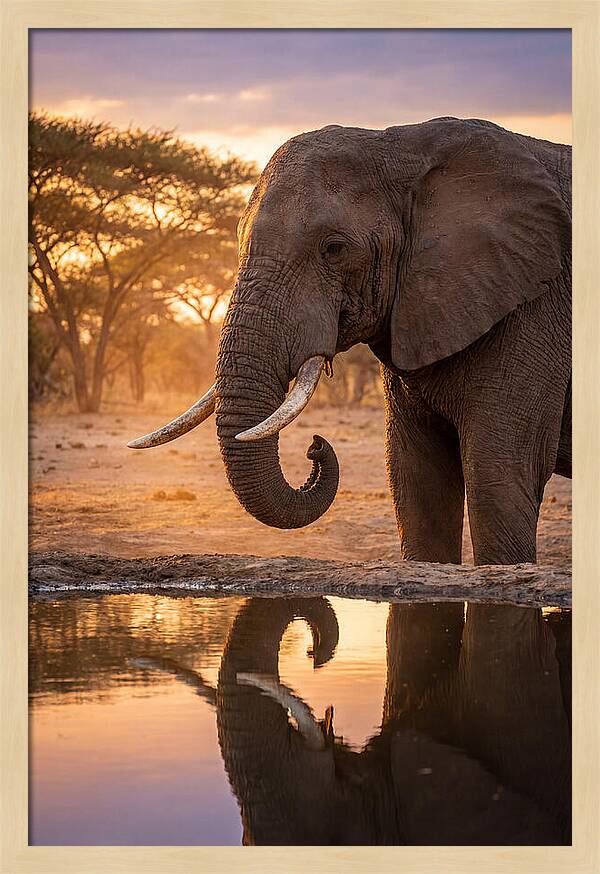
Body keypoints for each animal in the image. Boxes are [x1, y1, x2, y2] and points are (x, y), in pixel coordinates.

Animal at [129, 117, 571, 565]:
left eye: (334, 248)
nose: (315, 446)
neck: (404, 145)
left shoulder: (533, 307)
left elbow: (498, 478)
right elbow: (416, 483)